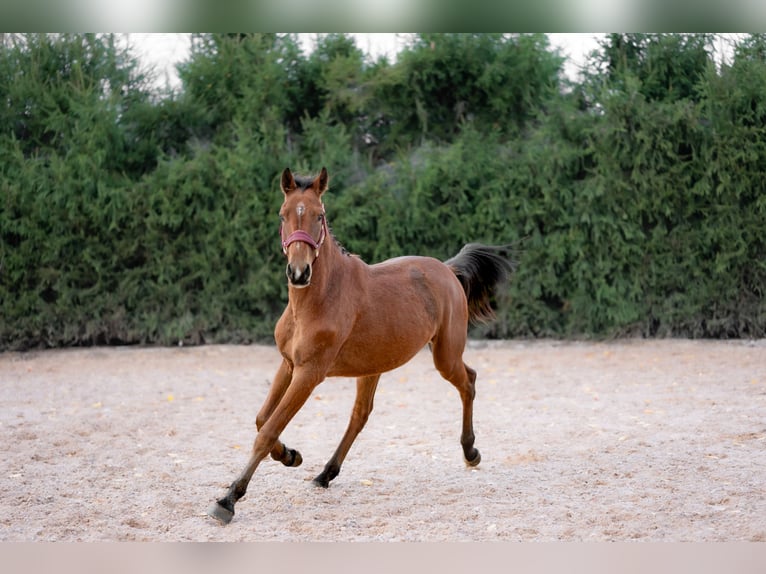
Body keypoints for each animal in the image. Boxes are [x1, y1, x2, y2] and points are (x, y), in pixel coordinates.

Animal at [208, 166, 516, 528]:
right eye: (283, 214)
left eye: (320, 215)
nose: (299, 273)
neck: (318, 300)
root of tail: (448, 270)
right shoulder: (288, 364)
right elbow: (261, 420)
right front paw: (291, 456)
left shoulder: (309, 374)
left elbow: (268, 430)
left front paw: (229, 499)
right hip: (374, 367)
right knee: (361, 415)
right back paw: (325, 474)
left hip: (444, 355)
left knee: (468, 381)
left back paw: (470, 452)